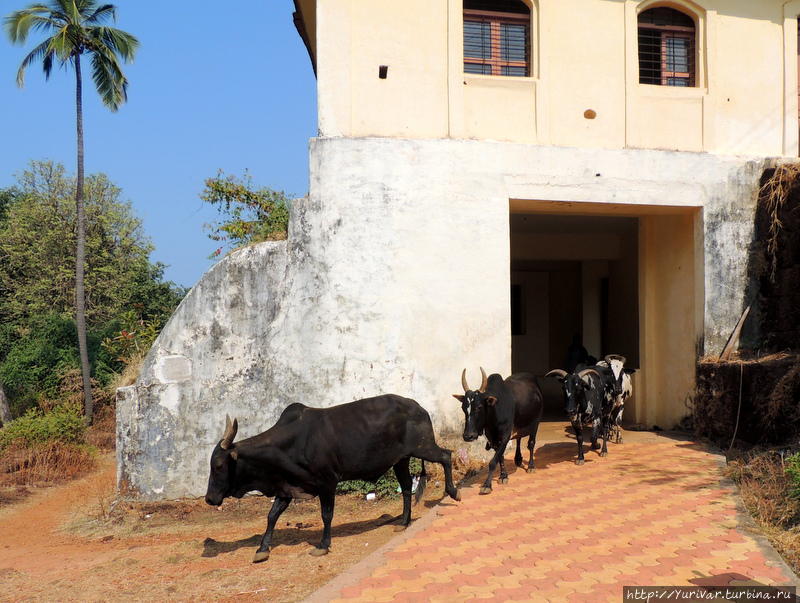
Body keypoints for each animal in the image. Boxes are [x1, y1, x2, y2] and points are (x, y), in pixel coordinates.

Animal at [203, 396, 460, 560]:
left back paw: (453, 492)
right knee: (407, 486)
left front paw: (323, 545)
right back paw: (404, 521)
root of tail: (418, 406)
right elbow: (272, 516)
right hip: (401, 460)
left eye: (218, 465)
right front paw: (262, 549)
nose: (209, 499)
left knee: (446, 456)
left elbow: (326, 515)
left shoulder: (327, 482)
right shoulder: (287, 487)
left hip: (423, 447)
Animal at [450, 368, 544, 496]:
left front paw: (487, 485)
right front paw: (503, 476)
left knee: (531, 444)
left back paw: (531, 466)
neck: (495, 411)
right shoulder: (492, 438)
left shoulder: (505, 436)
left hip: (536, 422)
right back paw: (518, 459)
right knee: (519, 439)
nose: (468, 436)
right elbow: (500, 457)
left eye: (479, 407)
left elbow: (493, 462)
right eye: (463, 408)